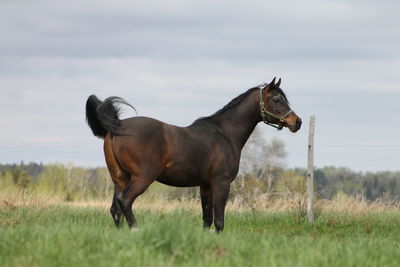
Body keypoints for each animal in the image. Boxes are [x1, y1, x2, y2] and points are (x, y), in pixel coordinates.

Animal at [86, 77, 302, 232]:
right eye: (276, 99)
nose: (297, 122)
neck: (224, 133)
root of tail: (118, 126)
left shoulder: (205, 185)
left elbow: (207, 219)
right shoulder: (221, 183)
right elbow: (219, 221)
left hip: (120, 179)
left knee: (116, 210)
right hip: (142, 178)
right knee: (125, 202)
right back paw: (136, 230)